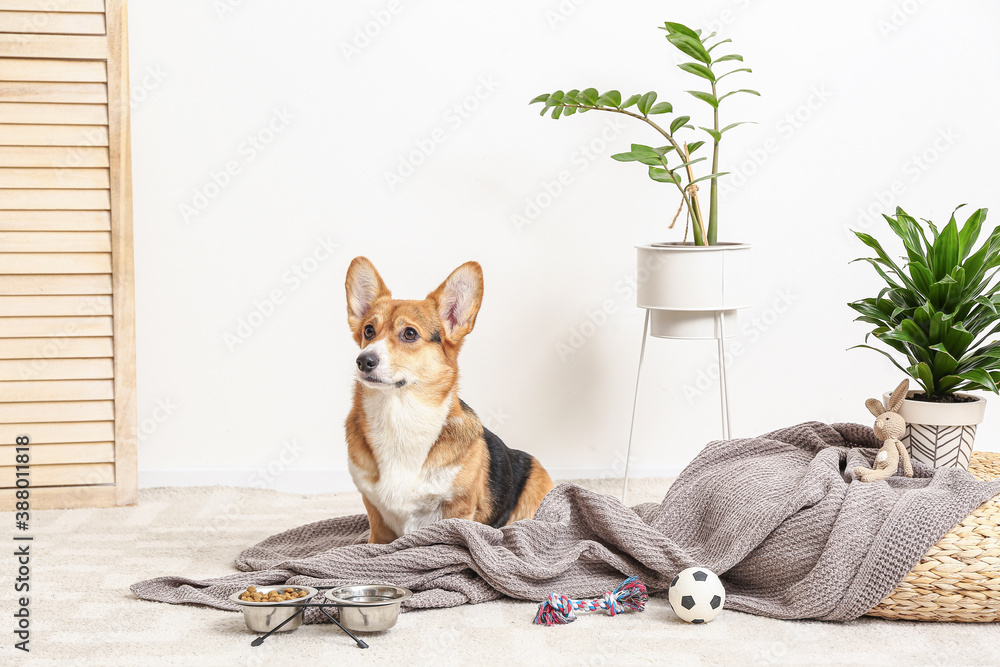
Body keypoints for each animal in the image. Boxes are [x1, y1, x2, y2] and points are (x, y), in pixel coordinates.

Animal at [346, 258, 556, 544]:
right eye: (368, 331)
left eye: (409, 334)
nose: (363, 360)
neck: (399, 415)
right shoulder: (377, 521)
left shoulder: (458, 509)